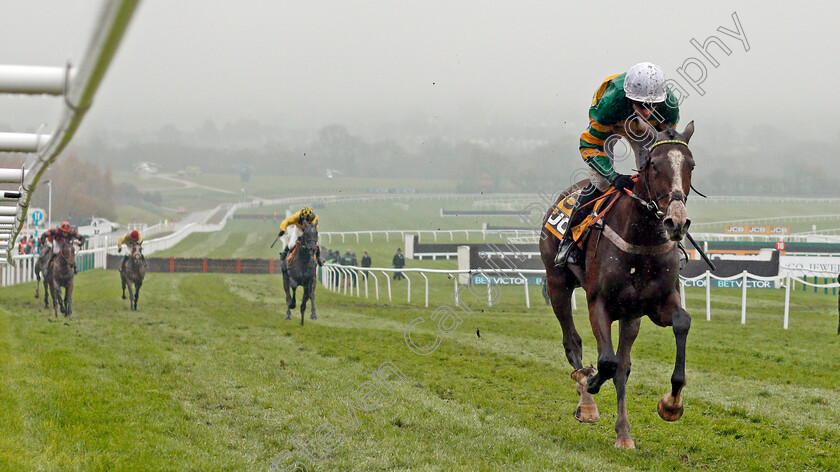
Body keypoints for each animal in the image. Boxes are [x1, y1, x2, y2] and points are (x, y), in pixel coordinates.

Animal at [540, 120, 700, 448]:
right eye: (654, 164)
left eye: (690, 165)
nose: (676, 222)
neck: (641, 241)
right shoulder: (598, 303)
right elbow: (605, 362)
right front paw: (588, 381)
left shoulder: (656, 304)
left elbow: (681, 322)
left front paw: (671, 404)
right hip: (556, 282)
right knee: (572, 342)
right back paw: (586, 400)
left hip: (630, 315)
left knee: (623, 366)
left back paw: (624, 433)